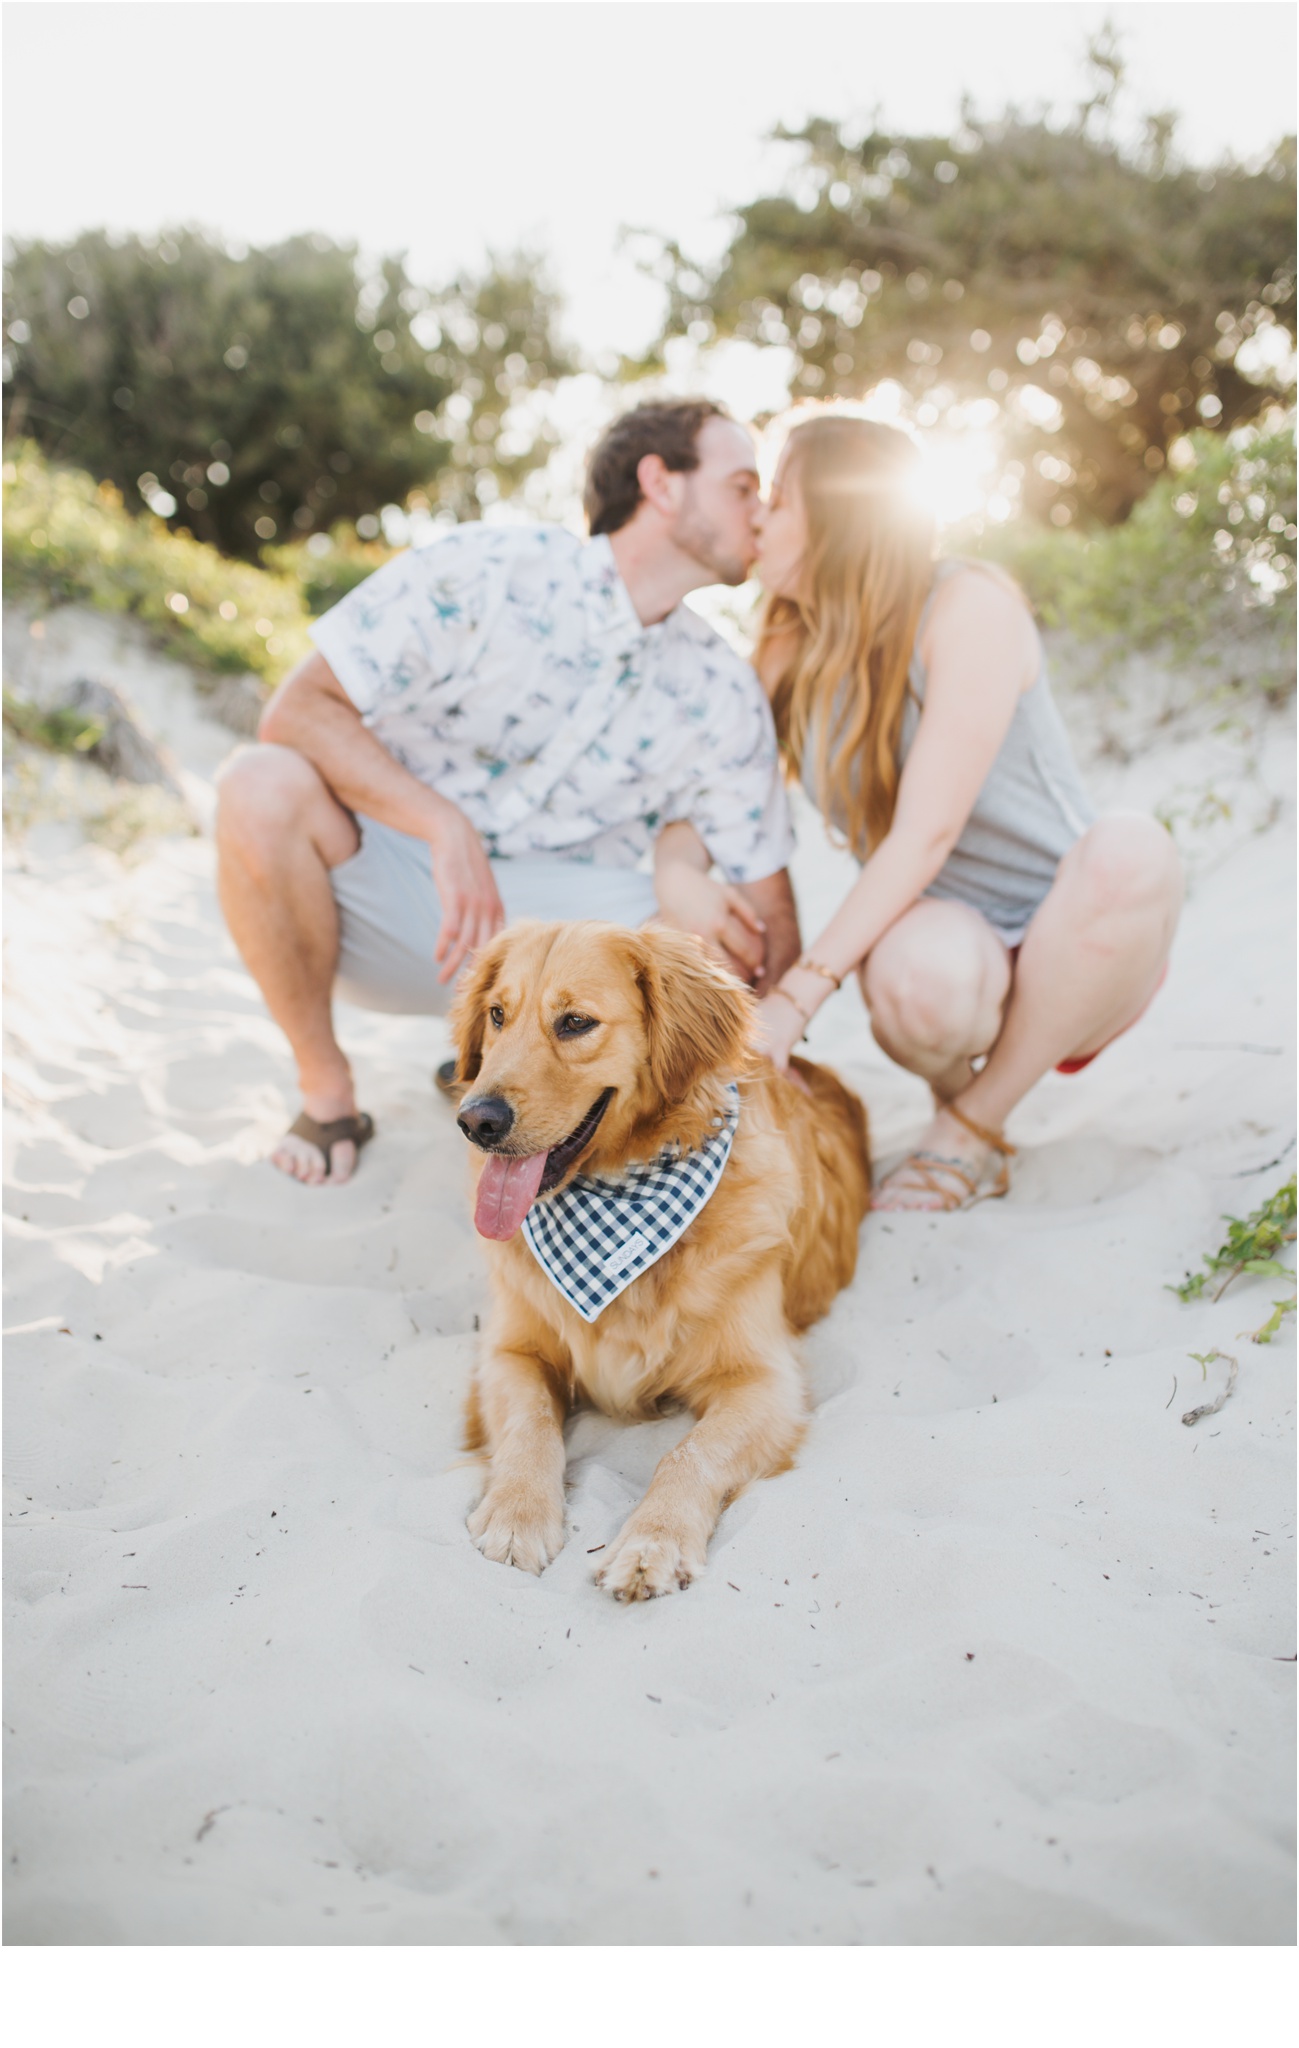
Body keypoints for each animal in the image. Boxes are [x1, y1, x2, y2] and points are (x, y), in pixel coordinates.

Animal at [446, 917, 868, 1597]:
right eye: (497, 1014)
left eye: (575, 1022)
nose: (476, 1121)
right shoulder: (509, 1352)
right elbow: (530, 1423)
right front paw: (517, 1514)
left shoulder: (763, 1382)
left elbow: (687, 1453)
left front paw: (652, 1542)